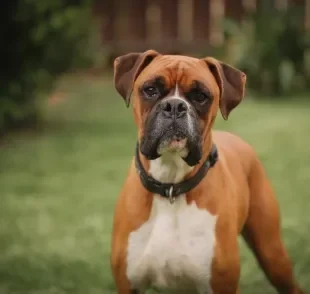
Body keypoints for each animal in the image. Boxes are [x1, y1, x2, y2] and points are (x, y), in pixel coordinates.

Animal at [110, 49, 304, 292]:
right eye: (150, 90)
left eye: (200, 95)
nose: (175, 106)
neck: (170, 186)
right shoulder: (129, 285)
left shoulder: (221, 285)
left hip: (272, 254)